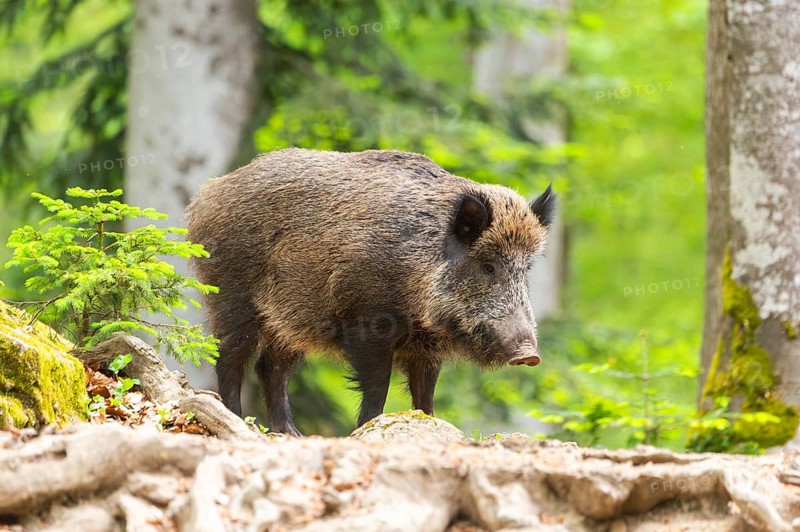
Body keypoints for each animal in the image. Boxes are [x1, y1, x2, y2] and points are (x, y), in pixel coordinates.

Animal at [186, 148, 555, 436]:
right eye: (488, 266)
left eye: (525, 269)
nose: (529, 354)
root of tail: (205, 196)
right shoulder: (366, 323)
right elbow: (378, 386)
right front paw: (365, 429)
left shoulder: (426, 347)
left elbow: (425, 392)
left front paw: (427, 422)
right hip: (230, 295)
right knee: (229, 357)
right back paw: (237, 420)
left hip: (291, 320)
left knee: (269, 367)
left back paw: (290, 433)